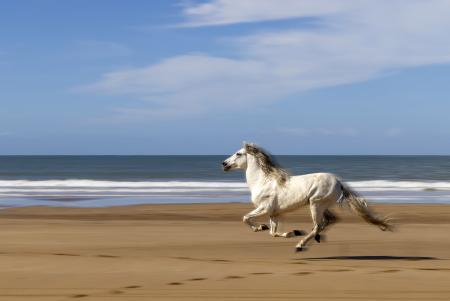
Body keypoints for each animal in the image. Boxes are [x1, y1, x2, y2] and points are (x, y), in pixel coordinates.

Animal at [223, 142, 392, 250]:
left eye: (238, 153)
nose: (224, 164)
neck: (262, 181)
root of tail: (339, 182)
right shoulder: (273, 213)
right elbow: (273, 232)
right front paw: (290, 232)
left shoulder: (264, 208)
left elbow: (246, 218)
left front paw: (259, 228)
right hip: (321, 205)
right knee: (329, 221)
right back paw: (314, 238)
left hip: (315, 204)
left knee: (319, 224)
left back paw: (301, 244)